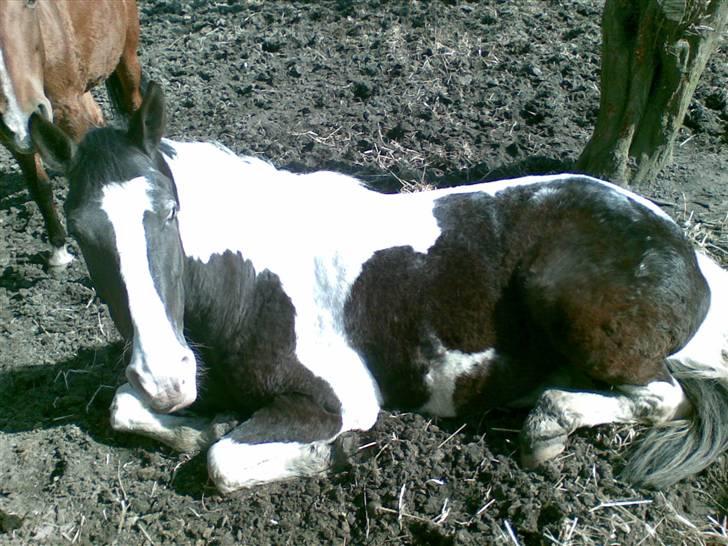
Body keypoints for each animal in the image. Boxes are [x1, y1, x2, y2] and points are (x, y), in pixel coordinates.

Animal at [0, 0, 142, 266]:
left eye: (31, 3)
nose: (22, 114)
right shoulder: (12, 136)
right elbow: (39, 185)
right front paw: (59, 251)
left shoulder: (68, 110)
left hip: (126, 56)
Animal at [31, 83, 728, 490]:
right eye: (81, 234)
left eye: (171, 214)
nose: (169, 379)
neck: (246, 282)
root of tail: (686, 251)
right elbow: (125, 407)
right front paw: (203, 419)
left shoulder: (337, 399)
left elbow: (222, 461)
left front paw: (335, 455)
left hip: (583, 319)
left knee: (667, 395)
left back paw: (548, 424)